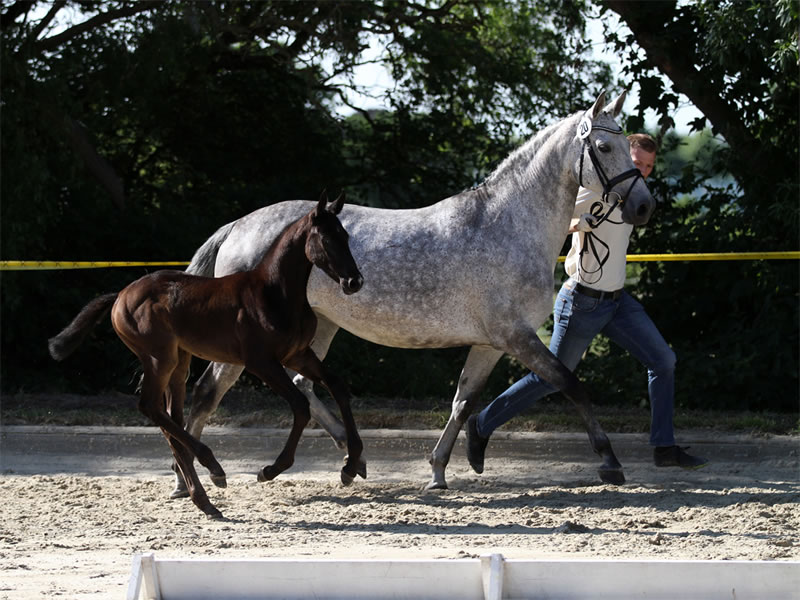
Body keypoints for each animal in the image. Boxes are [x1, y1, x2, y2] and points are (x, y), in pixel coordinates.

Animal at [47, 191, 366, 516]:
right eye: (326, 239)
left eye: (345, 236)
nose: (354, 281)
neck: (275, 293)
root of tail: (120, 296)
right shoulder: (261, 362)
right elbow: (301, 406)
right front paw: (269, 470)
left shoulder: (298, 354)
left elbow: (337, 387)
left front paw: (352, 465)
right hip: (159, 358)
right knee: (150, 407)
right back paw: (213, 468)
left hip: (178, 363)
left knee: (170, 418)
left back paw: (203, 498)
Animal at [178, 91, 652, 494]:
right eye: (604, 147)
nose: (643, 206)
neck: (508, 226)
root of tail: (238, 227)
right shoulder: (516, 337)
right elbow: (570, 383)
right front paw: (610, 462)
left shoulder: (489, 343)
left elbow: (463, 402)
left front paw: (438, 472)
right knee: (207, 393)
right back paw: (192, 481)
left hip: (321, 328)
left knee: (301, 386)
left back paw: (353, 461)